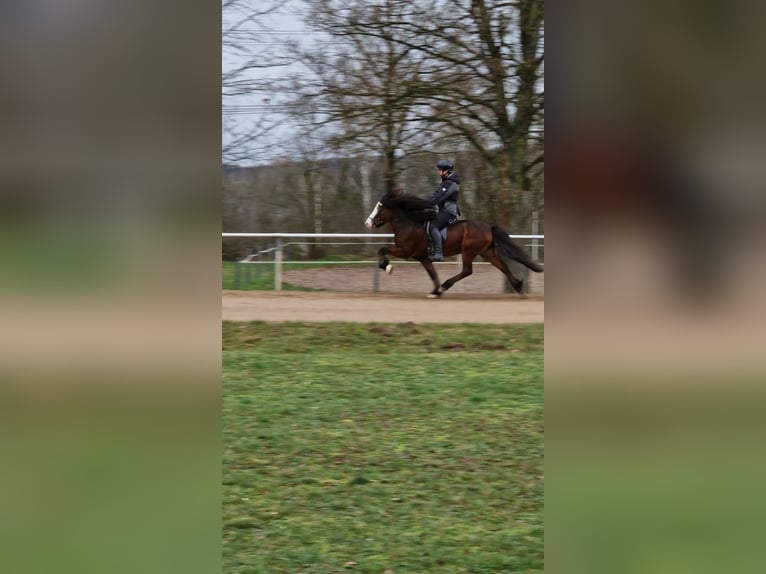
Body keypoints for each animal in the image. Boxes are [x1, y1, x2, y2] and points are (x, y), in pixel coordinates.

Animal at [366, 195, 544, 302]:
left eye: (380, 207)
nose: (367, 223)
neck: (408, 224)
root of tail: (488, 227)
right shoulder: (423, 257)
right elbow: (433, 274)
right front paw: (435, 292)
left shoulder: (405, 250)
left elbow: (382, 250)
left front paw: (386, 267)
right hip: (486, 252)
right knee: (503, 266)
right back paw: (519, 287)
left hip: (468, 251)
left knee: (467, 270)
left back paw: (446, 285)